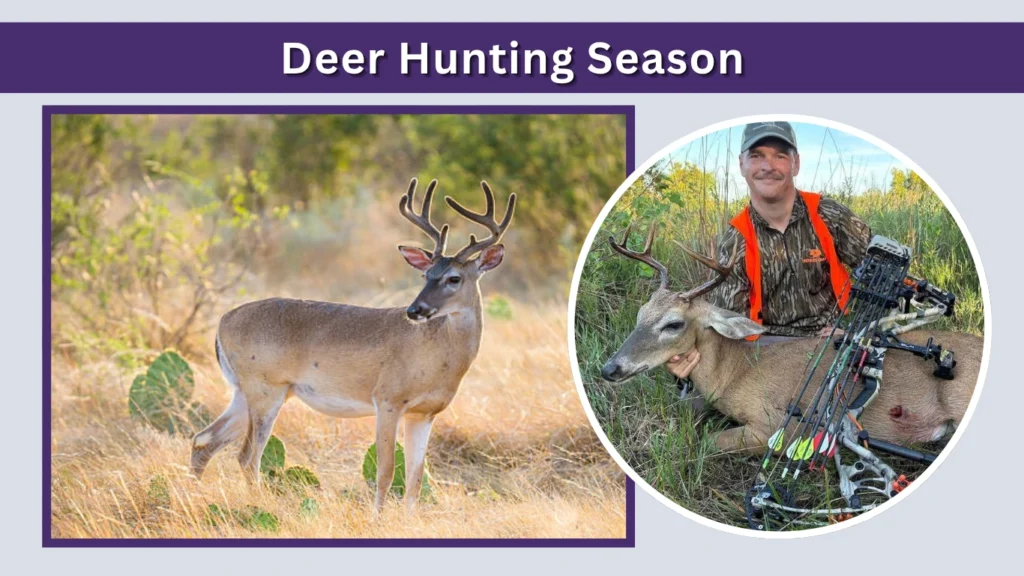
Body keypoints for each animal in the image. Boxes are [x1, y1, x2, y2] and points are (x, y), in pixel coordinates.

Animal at [189, 177, 515, 515]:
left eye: (453, 278)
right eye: (426, 274)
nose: (415, 310)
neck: (438, 357)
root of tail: (223, 322)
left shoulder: (424, 413)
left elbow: (416, 477)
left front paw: (410, 519)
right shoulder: (387, 399)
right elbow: (386, 470)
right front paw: (378, 519)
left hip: (248, 390)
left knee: (204, 439)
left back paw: (194, 494)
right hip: (265, 387)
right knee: (247, 455)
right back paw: (259, 506)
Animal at [597, 223, 982, 457]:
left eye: (673, 324)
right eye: (640, 314)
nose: (609, 369)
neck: (734, 370)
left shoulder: (780, 425)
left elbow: (707, 441)